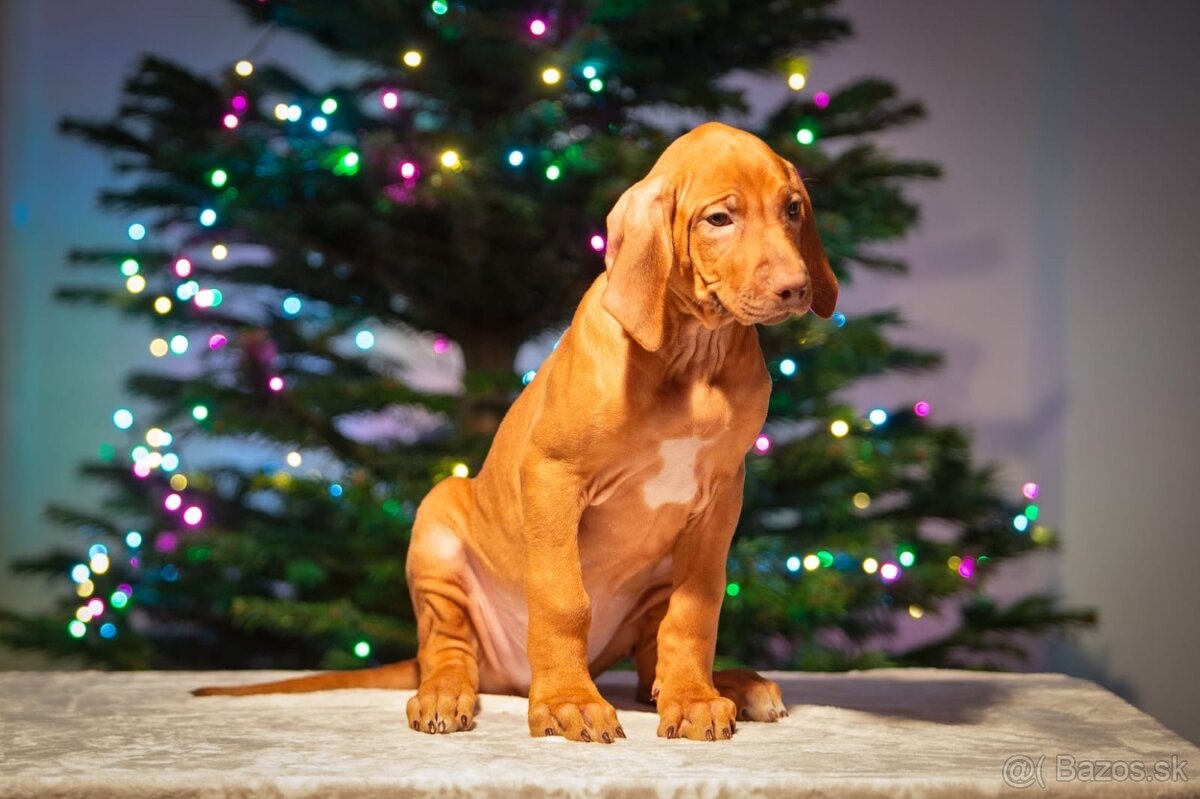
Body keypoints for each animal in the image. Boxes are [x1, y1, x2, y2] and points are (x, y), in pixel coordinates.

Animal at [195, 122, 838, 743]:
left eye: (792, 210)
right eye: (719, 219)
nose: (796, 288)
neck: (693, 358)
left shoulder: (720, 499)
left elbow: (695, 610)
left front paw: (695, 698)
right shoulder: (553, 477)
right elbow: (561, 599)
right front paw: (568, 702)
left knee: (646, 664)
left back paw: (724, 684)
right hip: (438, 527)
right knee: (447, 648)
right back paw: (444, 693)